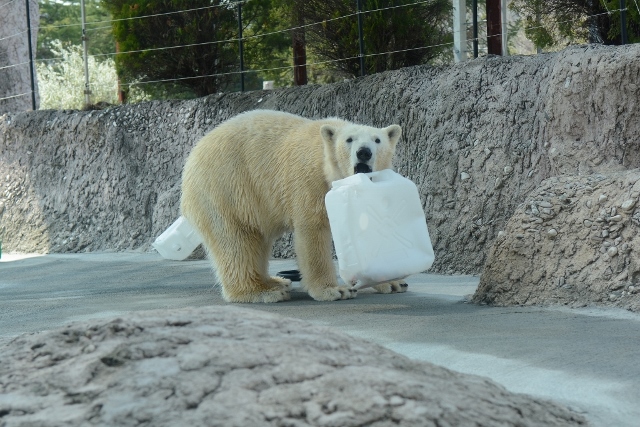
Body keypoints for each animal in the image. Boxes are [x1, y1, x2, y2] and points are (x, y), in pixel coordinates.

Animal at [180, 110, 402, 304]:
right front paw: (334, 290)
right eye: (349, 140)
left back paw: (276, 282)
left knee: (258, 240)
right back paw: (262, 292)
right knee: (237, 241)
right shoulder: (309, 181)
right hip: (227, 188)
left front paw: (393, 283)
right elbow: (312, 231)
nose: (363, 152)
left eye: (377, 140)